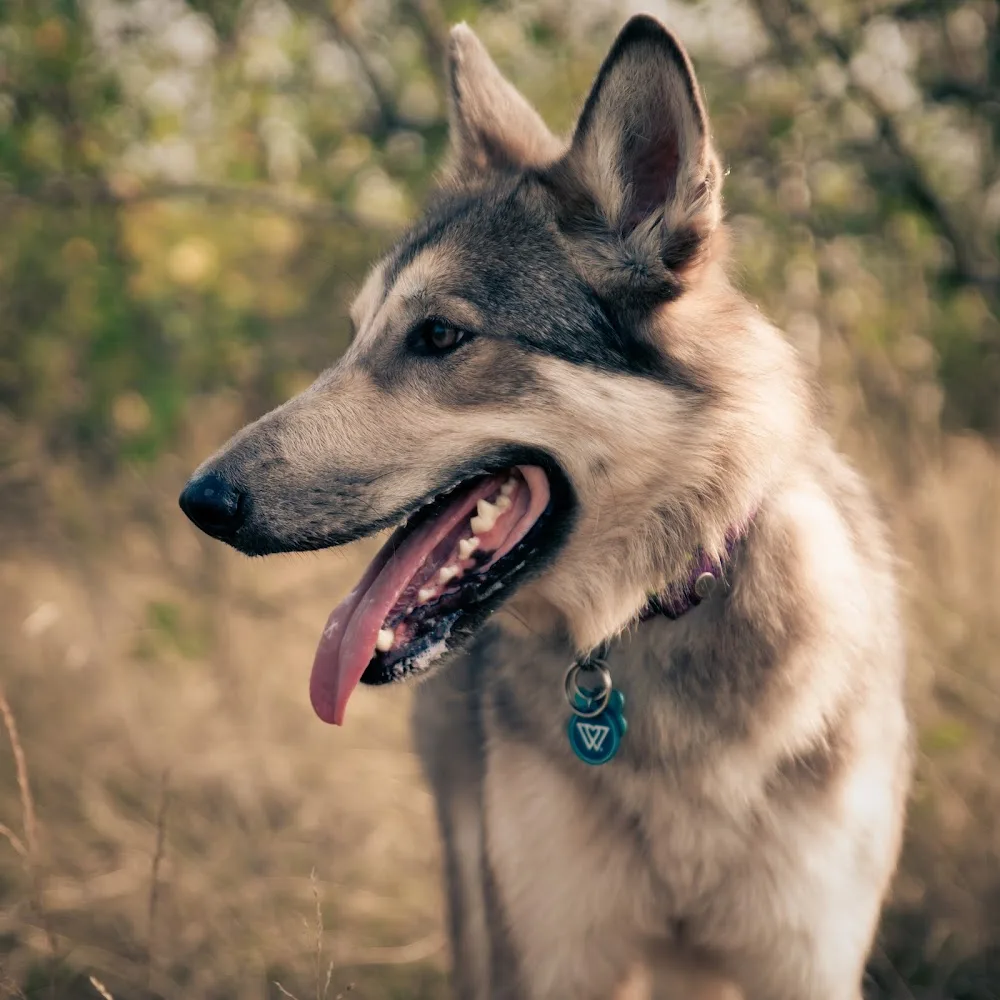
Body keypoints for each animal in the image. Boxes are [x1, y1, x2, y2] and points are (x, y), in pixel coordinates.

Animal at [179, 15, 911, 1000]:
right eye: (354, 337)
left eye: (439, 336)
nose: (200, 500)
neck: (657, 621)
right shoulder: (547, 954)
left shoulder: (804, 962)